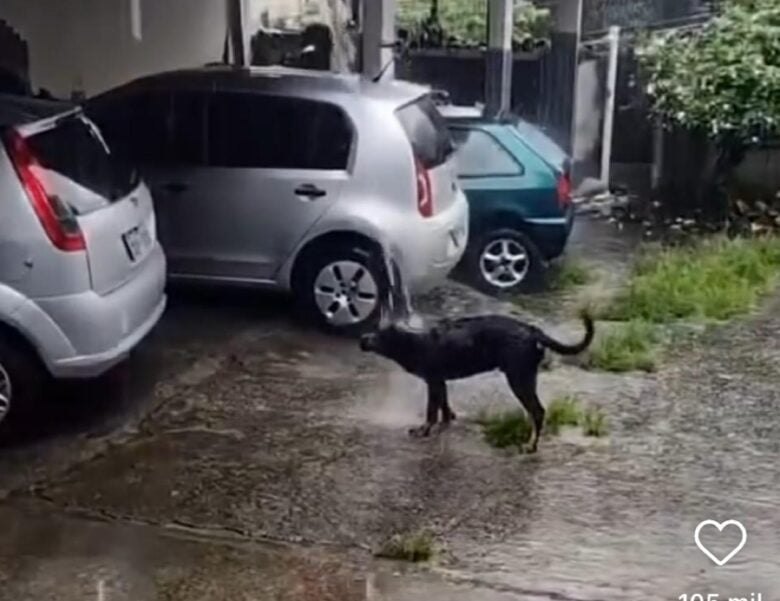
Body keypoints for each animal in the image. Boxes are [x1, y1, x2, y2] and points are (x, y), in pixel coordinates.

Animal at [360, 314, 592, 450]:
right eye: (373, 330)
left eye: (378, 336)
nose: (362, 339)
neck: (414, 342)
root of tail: (532, 330)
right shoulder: (439, 382)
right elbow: (444, 406)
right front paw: (447, 422)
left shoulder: (433, 381)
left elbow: (431, 411)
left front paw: (424, 430)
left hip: (519, 378)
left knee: (538, 411)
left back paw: (531, 445)